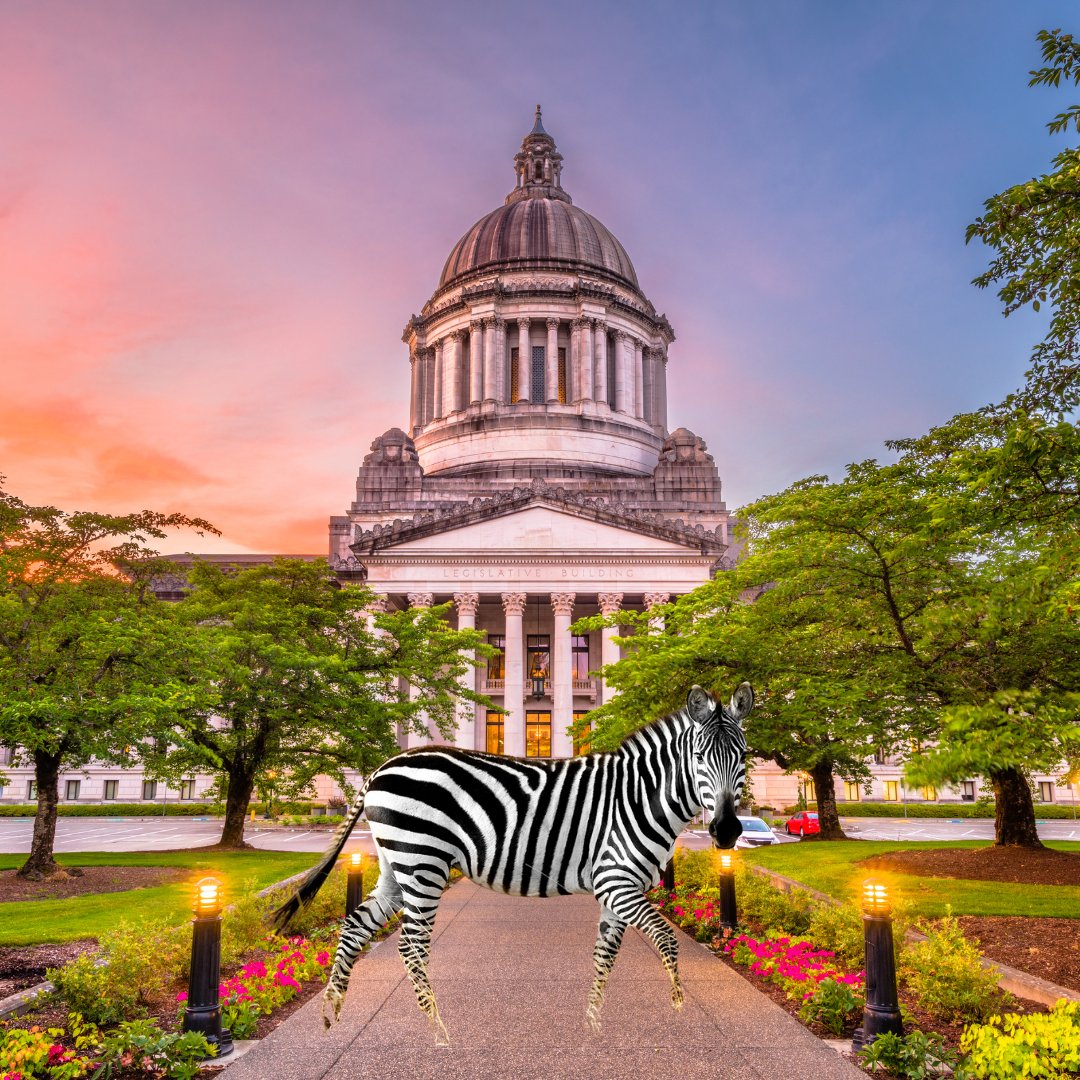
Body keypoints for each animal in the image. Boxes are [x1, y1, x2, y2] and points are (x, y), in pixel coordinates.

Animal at [272, 678, 751, 1041]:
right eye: (699, 757)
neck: (638, 796)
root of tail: (384, 765)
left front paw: (592, 1024)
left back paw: (332, 1011)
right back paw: (438, 1030)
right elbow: (667, 940)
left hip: (398, 864)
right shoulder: (615, 881)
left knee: (355, 925)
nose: (727, 831)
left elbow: (604, 955)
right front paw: (678, 1005)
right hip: (423, 862)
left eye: (743, 756)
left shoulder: (618, 891)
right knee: (412, 945)